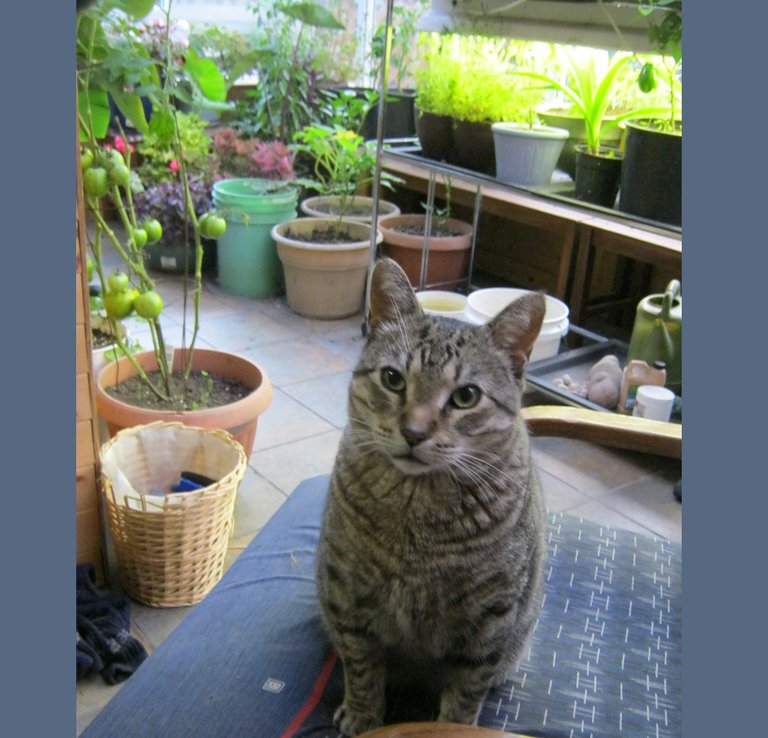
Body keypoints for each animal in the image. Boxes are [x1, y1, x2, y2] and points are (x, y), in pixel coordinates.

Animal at [316, 258, 548, 736]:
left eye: (466, 396)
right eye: (392, 379)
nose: (414, 432)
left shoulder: (490, 623)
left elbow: (465, 695)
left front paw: (453, 725)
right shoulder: (348, 595)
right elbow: (362, 666)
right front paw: (363, 715)